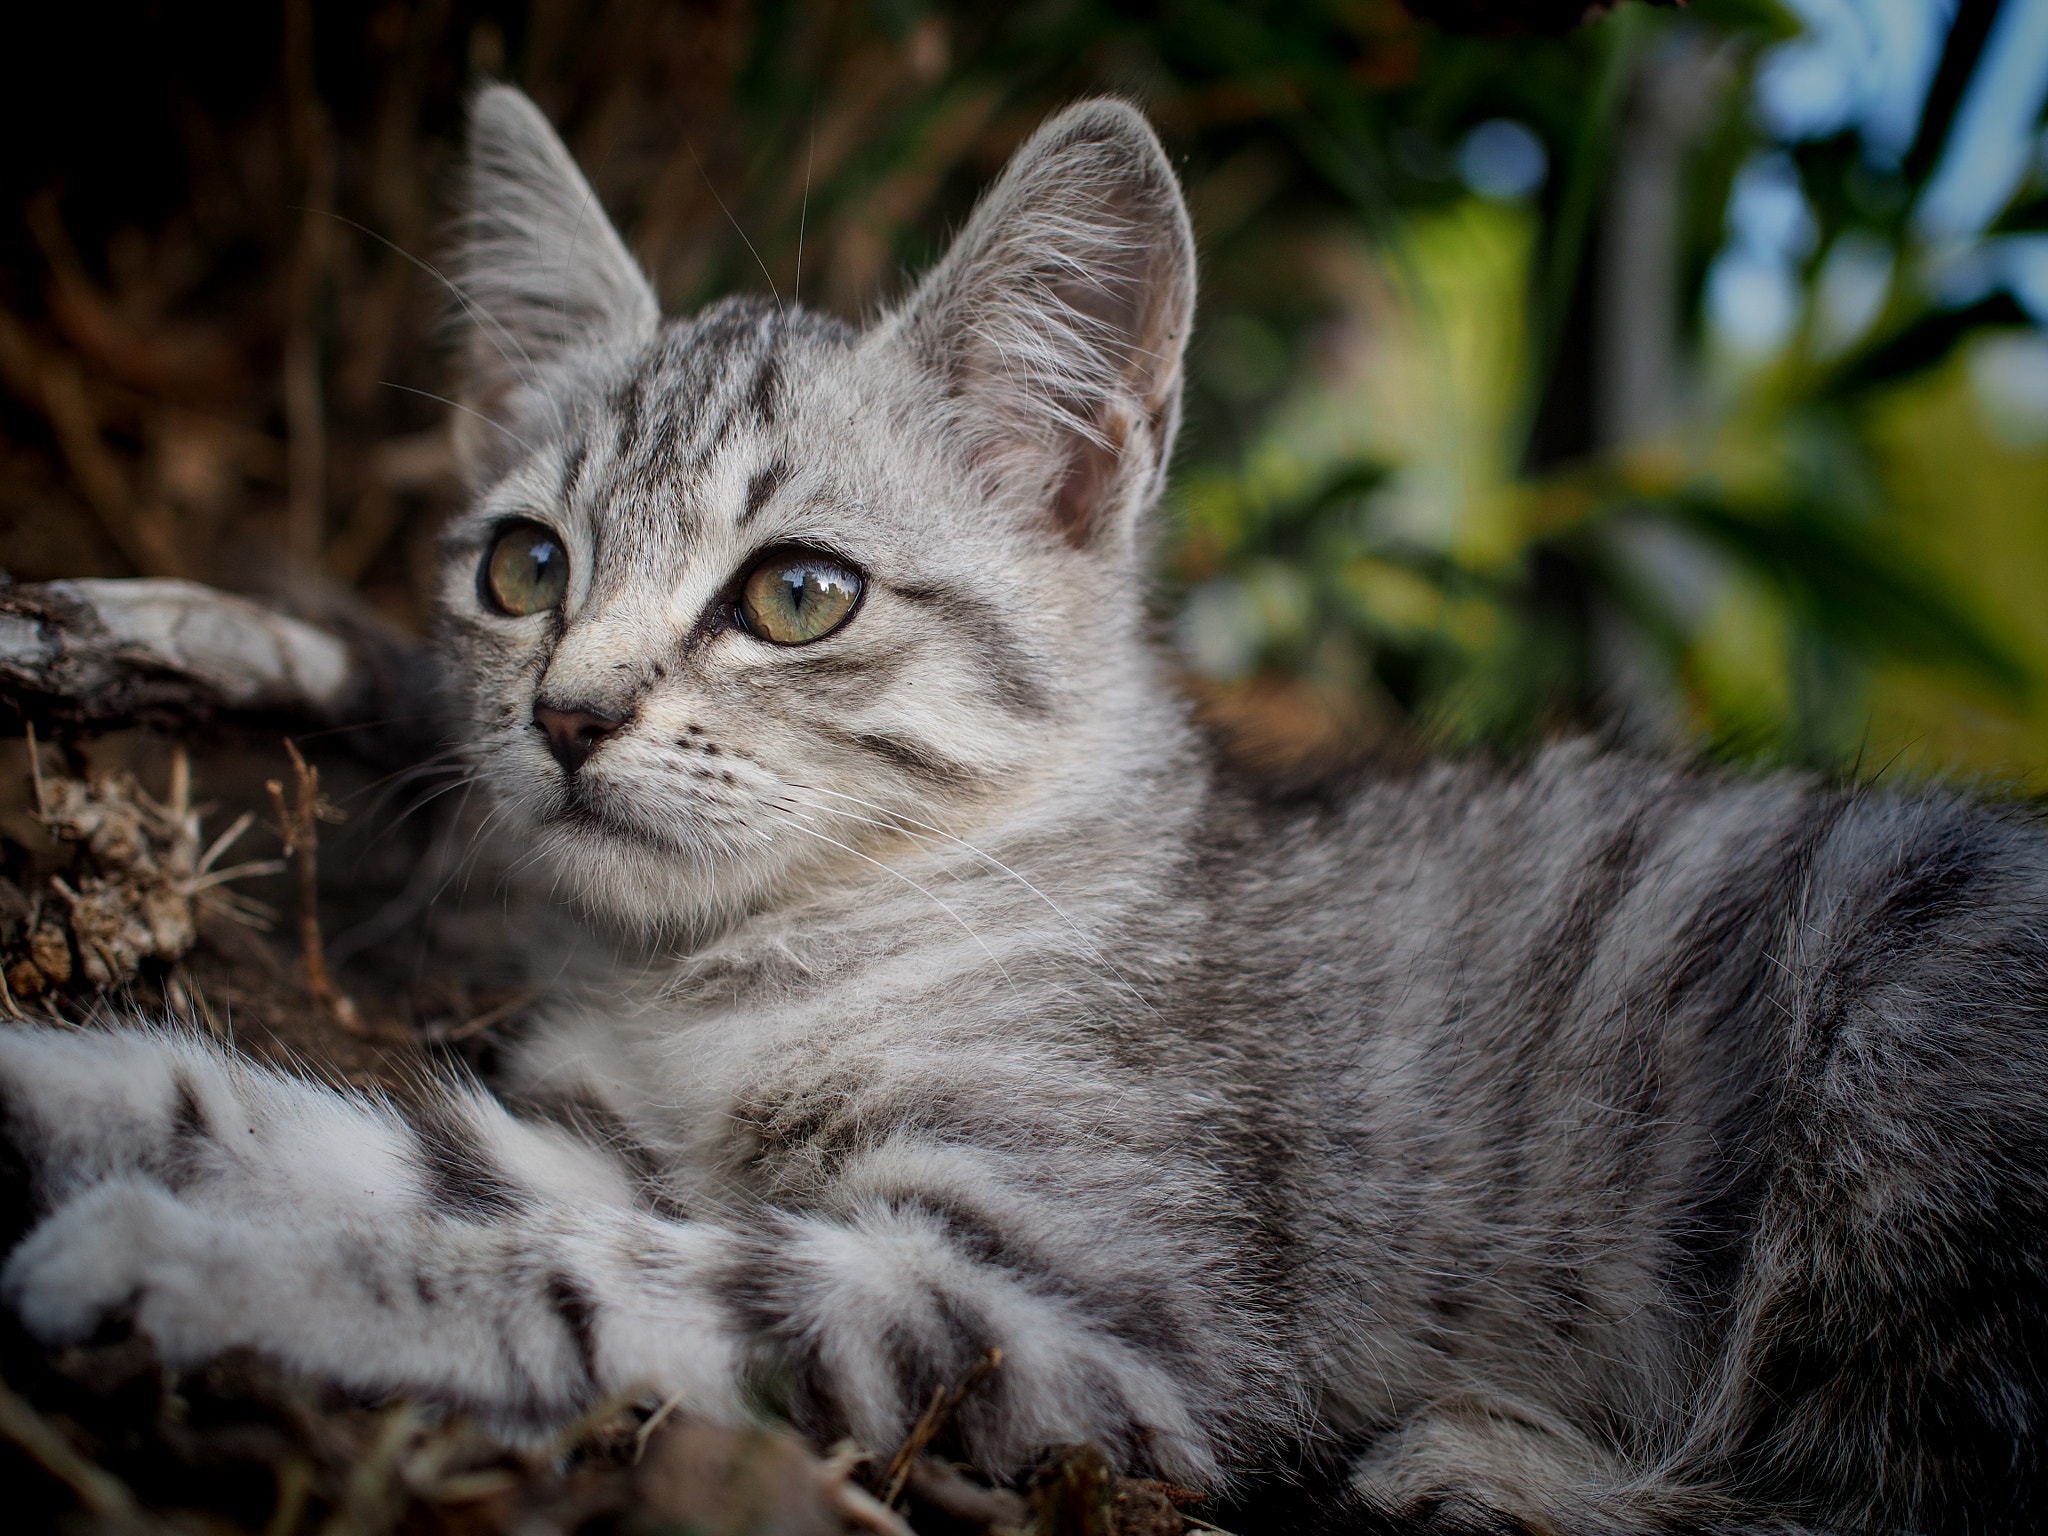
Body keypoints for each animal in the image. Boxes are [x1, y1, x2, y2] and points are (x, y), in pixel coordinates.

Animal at [4, 90, 2048, 1531]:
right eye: (524, 567)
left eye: (797, 595)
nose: (567, 715)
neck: (749, 965)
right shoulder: (635, 1145)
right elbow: (387, 1146)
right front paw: (77, 1099)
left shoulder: (1079, 1308)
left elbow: (587, 1279)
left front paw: (202, 1262)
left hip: (1900, 1041)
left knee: (1890, 1487)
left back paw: (1502, 1469)